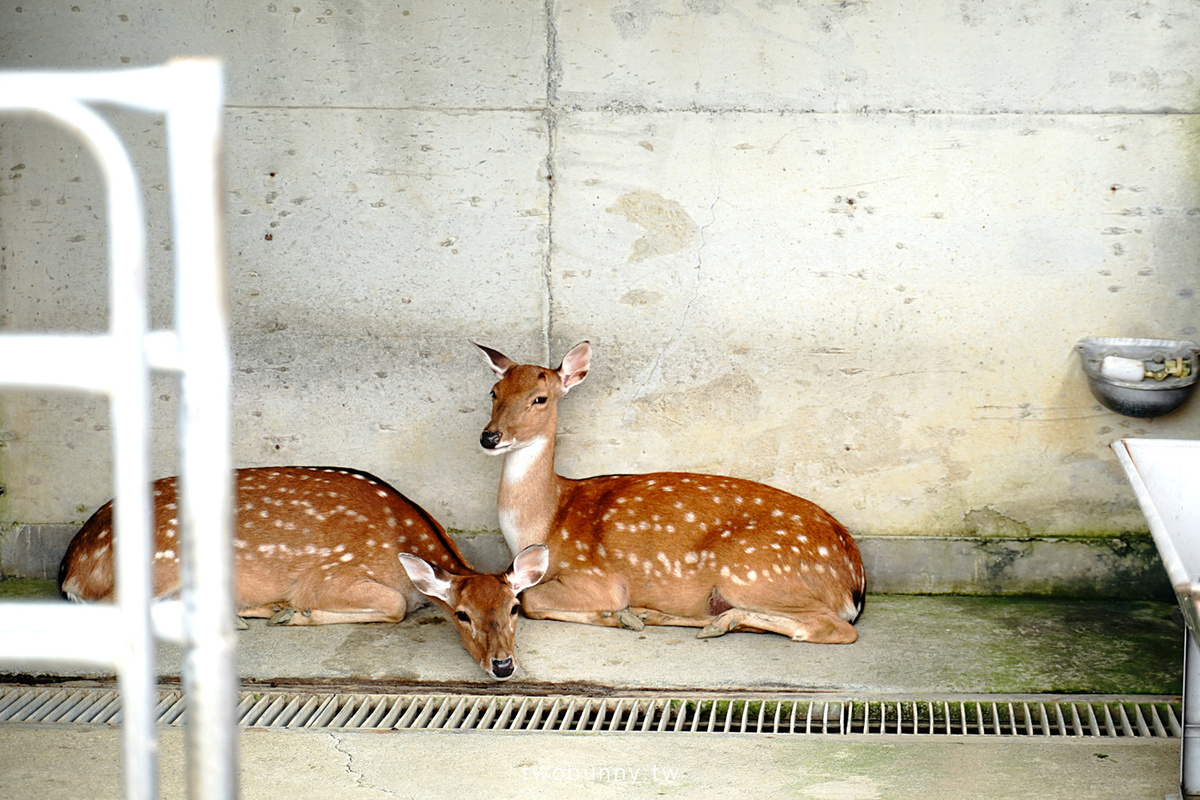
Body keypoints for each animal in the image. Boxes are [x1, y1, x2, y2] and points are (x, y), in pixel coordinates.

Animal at [59, 466, 549, 680]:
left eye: (514, 609)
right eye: (462, 615)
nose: (503, 665)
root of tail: (71, 567)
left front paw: (282, 611)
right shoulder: (328, 574)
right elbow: (392, 604)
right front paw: (296, 613)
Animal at [473, 341, 865, 644]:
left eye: (539, 399)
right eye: (494, 392)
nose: (490, 437)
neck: (546, 522)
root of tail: (855, 581)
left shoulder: (599, 578)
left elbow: (531, 601)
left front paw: (619, 616)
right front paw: (628, 617)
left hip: (752, 572)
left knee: (835, 628)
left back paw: (708, 621)